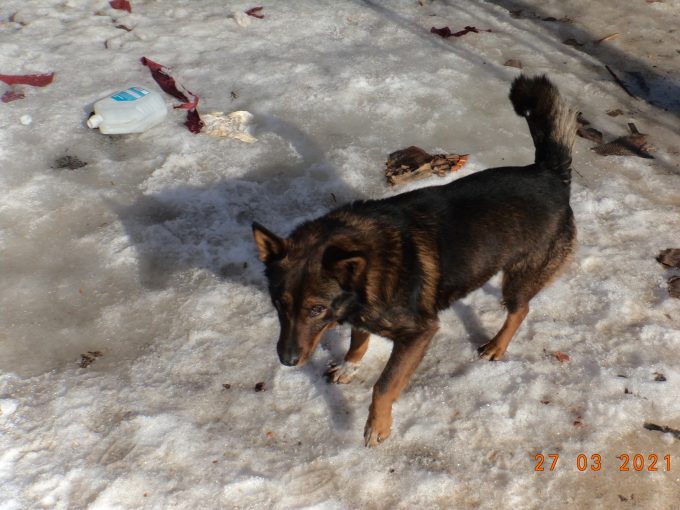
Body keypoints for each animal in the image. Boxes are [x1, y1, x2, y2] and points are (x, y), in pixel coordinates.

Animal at [252, 74, 576, 446]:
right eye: (278, 303)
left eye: (317, 309)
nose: (287, 361)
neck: (366, 271)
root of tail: (549, 172)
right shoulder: (361, 313)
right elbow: (358, 340)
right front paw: (350, 365)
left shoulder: (418, 333)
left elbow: (384, 385)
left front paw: (377, 426)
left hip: (521, 275)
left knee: (520, 310)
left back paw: (496, 346)